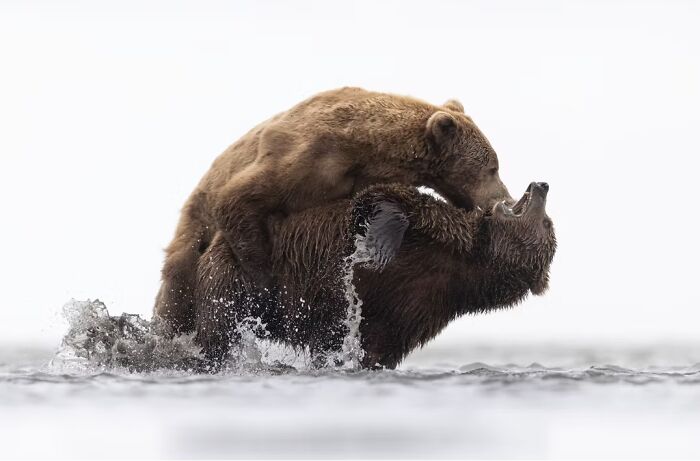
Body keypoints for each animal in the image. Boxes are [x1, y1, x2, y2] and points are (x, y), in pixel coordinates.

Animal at [155, 87, 514, 334]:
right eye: (493, 168)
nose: (506, 199)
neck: (367, 151)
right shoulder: (303, 158)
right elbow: (237, 199)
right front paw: (264, 283)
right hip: (193, 226)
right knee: (177, 281)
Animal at [189, 182, 556, 369]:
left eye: (547, 223)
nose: (542, 185)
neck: (470, 260)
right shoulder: (440, 240)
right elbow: (383, 197)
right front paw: (379, 242)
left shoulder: (422, 305)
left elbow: (377, 344)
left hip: (237, 279)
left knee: (221, 323)